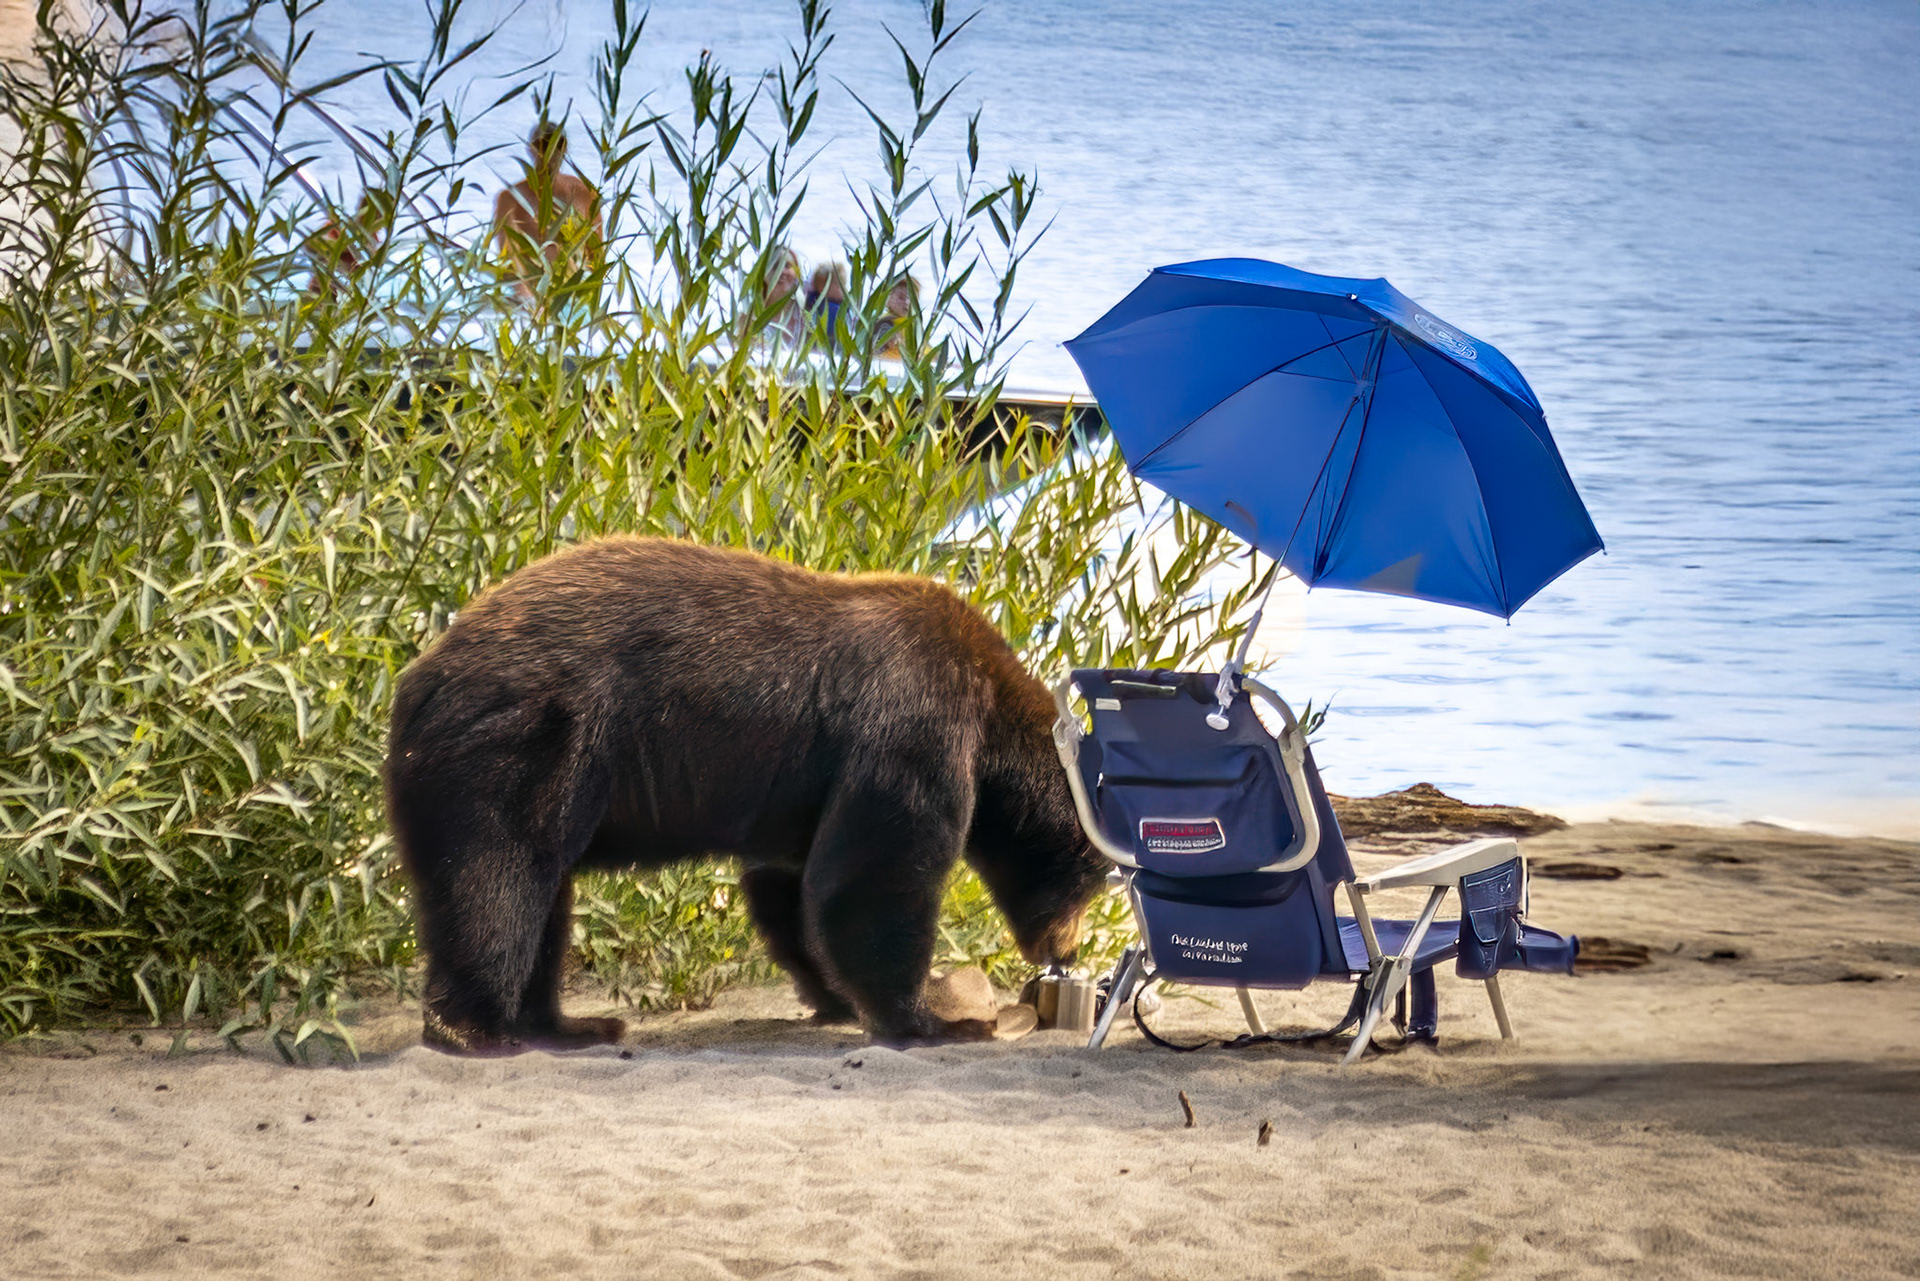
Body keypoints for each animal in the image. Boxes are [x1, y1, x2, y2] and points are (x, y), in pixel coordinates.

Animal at [383, 536, 1107, 1053]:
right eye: (1096, 877)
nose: (1066, 952)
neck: (992, 725)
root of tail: (414, 680)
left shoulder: (805, 791)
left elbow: (796, 885)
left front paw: (837, 998)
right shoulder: (914, 723)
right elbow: (878, 873)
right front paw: (933, 1018)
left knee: (544, 899)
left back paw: (568, 1025)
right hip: (520, 744)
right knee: (498, 880)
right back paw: (480, 1029)